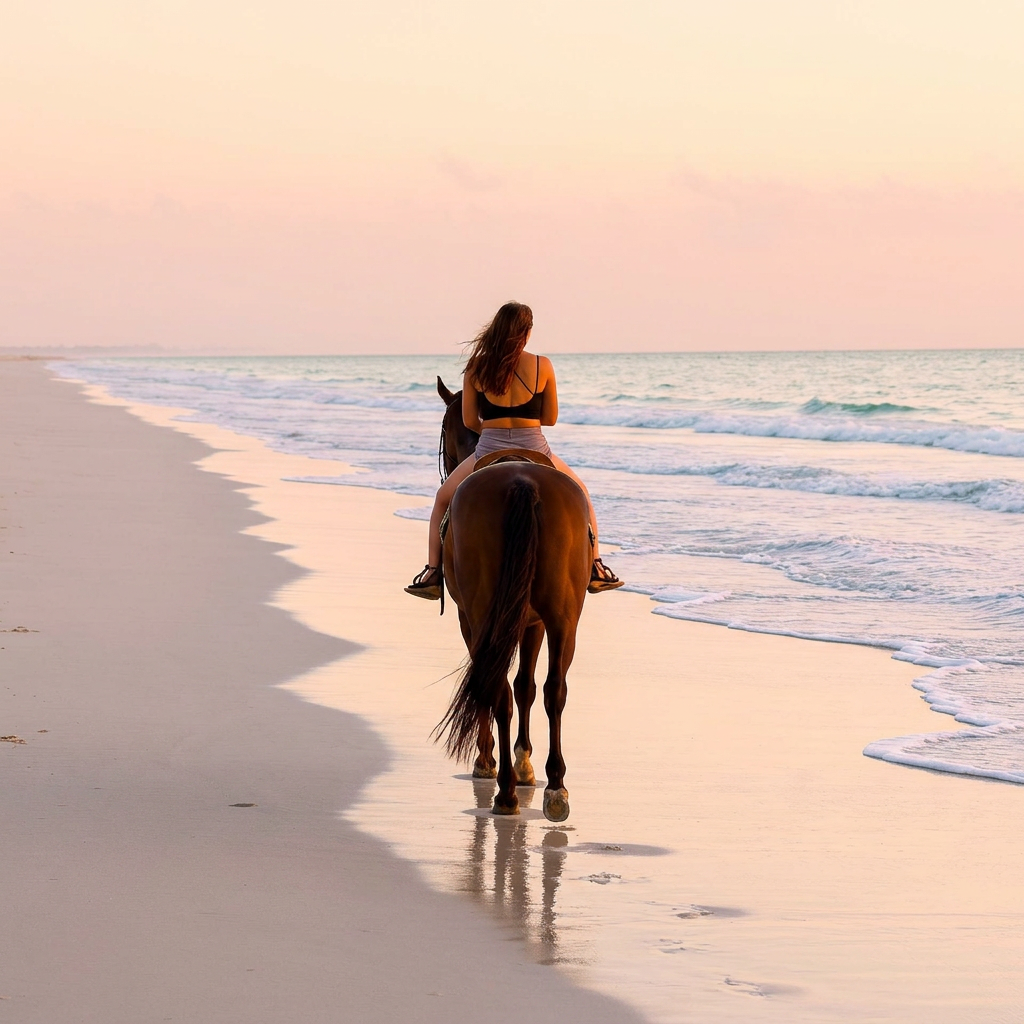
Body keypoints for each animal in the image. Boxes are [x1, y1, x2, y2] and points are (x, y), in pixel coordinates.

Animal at [433, 377, 592, 821]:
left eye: (444, 427)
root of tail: (522, 481)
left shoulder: (471, 619)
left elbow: (505, 685)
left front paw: (494, 762)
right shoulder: (532, 621)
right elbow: (526, 686)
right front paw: (524, 764)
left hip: (489, 615)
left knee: (500, 688)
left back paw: (505, 789)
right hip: (563, 617)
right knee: (555, 690)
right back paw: (554, 788)